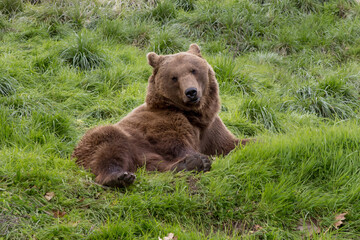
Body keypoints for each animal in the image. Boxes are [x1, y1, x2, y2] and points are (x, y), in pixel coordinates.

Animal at [71, 44, 249, 187]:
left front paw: (253, 142)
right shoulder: (162, 122)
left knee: (158, 167)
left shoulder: (211, 129)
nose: (191, 92)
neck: (195, 115)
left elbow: (229, 143)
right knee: (107, 144)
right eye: (174, 77)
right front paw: (200, 158)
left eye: (193, 70)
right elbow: (174, 143)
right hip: (108, 142)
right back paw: (118, 177)